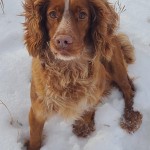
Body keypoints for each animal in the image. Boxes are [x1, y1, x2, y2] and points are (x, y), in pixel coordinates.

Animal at [22, 0, 142, 150]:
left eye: (82, 15)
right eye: (52, 14)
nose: (63, 41)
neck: (68, 72)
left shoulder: (92, 95)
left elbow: (87, 112)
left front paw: (84, 128)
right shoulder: (37, 111)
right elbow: (35, 139)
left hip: (114, 64)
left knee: (128, 90)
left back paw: (130, 119)